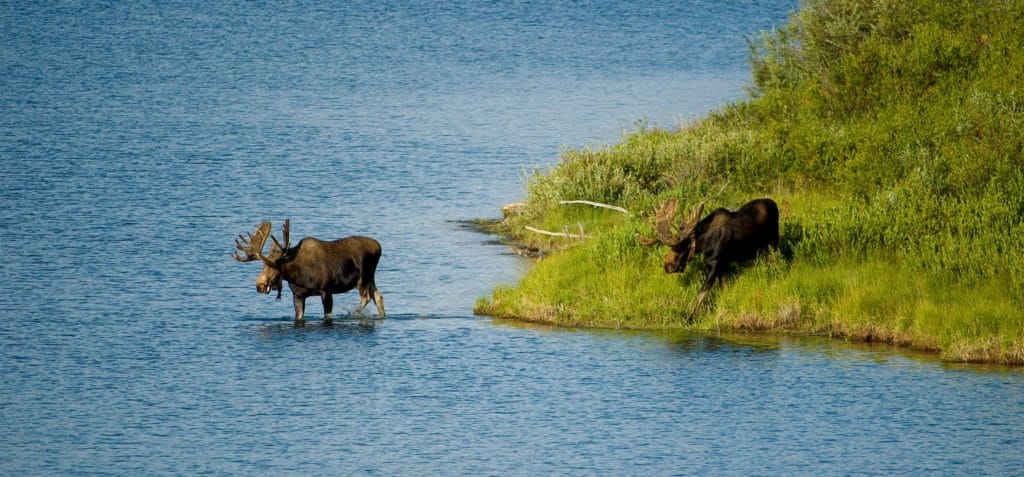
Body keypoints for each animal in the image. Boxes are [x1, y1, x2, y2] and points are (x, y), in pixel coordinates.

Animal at [234, 219, 385, 323]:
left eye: (273, 266)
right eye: (262, 266)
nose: (259, 285)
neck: (296, 275)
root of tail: (379, 247)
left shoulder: (326, 290)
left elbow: (327, 315)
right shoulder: (298, 295)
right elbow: (299, 316)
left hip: (363, 276)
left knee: (366, 297)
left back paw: (354, 314)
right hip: (371, 277)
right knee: (378, 296)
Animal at [634, 197, 778, 321]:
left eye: (680, 246)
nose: (667, 265)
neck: (704, 244)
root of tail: (774, 203)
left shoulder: (715, 263)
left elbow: (702, 292)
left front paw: (690, 317)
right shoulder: (723, 264)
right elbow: (723, 288)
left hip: (773, 243)